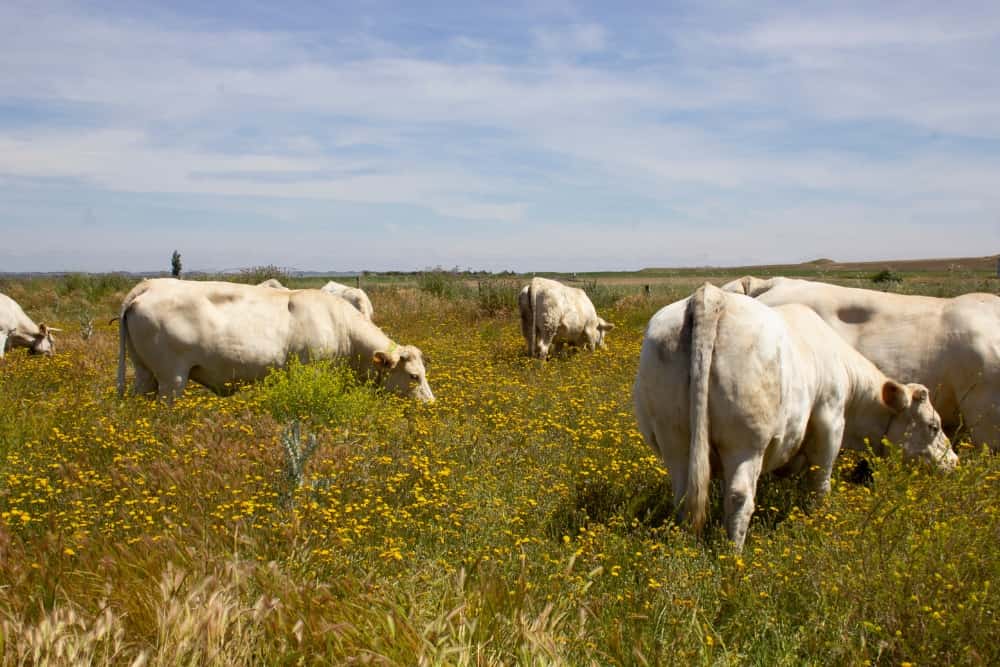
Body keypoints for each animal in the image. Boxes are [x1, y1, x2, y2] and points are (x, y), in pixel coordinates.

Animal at [117, 279, 433, 402]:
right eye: (414, 376)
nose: (431, 404)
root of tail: (151, 284)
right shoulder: (311, 372)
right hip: (172, 379)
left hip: (144, 375)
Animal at [633, 283, 955, 549]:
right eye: (933, 426)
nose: (954, 461)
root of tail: (711, 296)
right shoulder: (831, 422)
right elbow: (820, 483)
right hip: (746, 444)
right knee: (739, 497)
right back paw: (733, 557)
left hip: (674, 438)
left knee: (684, 492)